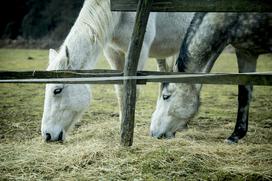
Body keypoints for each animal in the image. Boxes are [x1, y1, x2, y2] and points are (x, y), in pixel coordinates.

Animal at [41, 0, 193, 141]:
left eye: (57, 90)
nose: (47, 135)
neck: (120, 12)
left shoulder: (141, 51)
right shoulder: (113, 53)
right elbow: (120, 91)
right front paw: (122, 127)